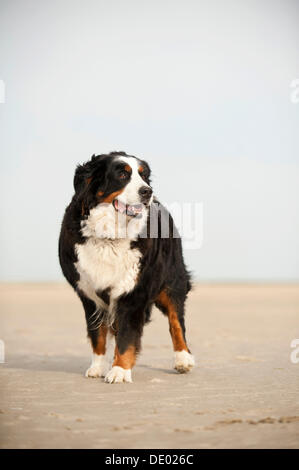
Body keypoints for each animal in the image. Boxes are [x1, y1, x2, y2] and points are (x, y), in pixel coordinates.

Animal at [58, 151, 195, 382]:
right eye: (122, 174)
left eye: (143, 175)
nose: (147, 191)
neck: (110, 236)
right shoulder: (89, 294)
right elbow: (98, 334)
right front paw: (98, 367)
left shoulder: (133, 291)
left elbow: (126, 335)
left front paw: (120, 370)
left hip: (173, 280)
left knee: (177, 322)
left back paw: (183, 360)